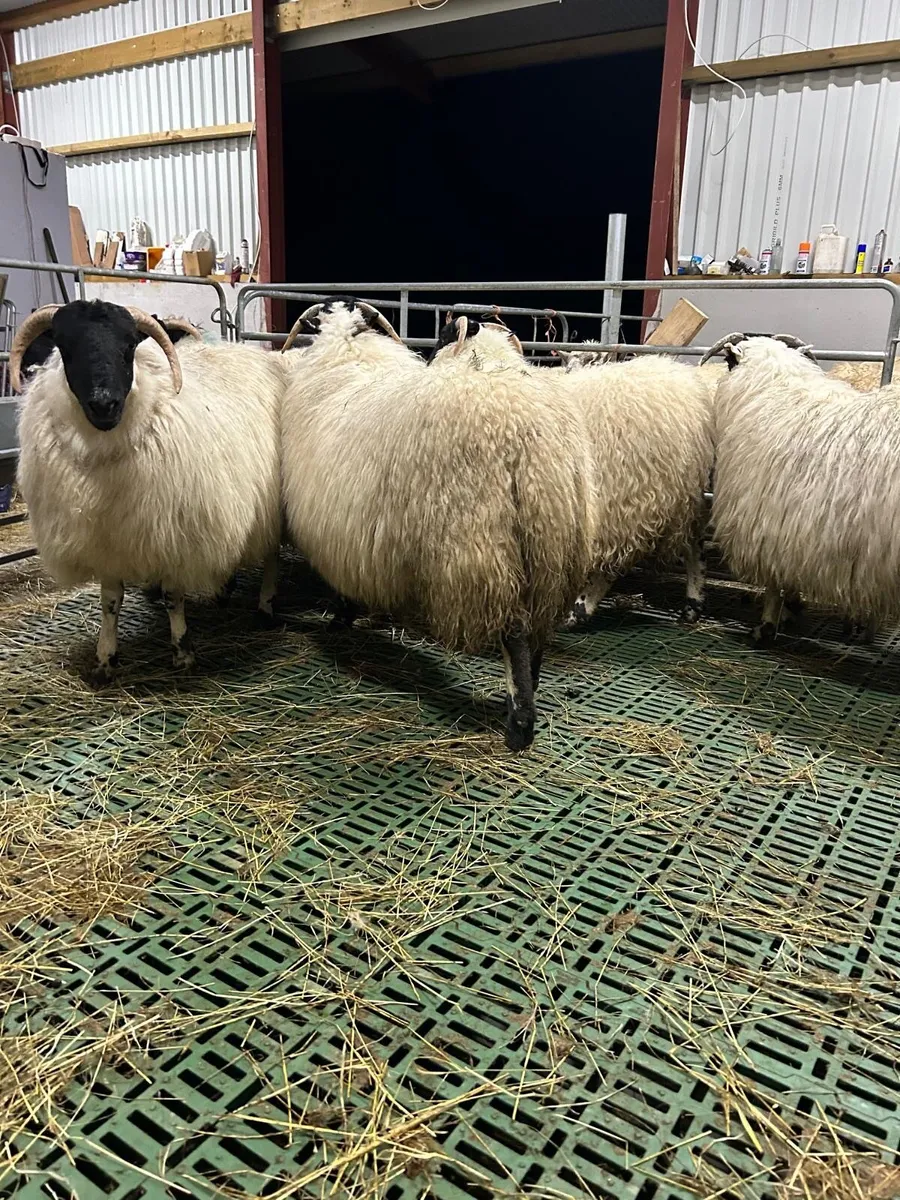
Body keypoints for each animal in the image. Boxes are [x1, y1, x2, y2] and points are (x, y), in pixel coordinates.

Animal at [10, 300, 282, 681]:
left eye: (129, 346)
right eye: (64, 346)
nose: (104, 404)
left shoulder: (173, 534)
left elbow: (173, 597)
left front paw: (183, 652)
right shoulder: (107, 541)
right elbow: (110, 601)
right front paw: (105, 658)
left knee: (271, 554)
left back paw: (266, 606)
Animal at [280, 300, 594, 750]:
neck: (347, 352)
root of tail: (529, 437)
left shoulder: (339, 530)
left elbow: (343, 584)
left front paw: (342, 618)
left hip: (484, 543)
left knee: (515, 632)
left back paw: (519, 724)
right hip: (554, 547)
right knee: (539, 630)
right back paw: (529, 690)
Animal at [703, 331, 900, 643]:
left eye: (729, 361)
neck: (775, 388)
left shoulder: (767, 522)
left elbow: (774, 582)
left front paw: (767, 624)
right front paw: (791, 608)